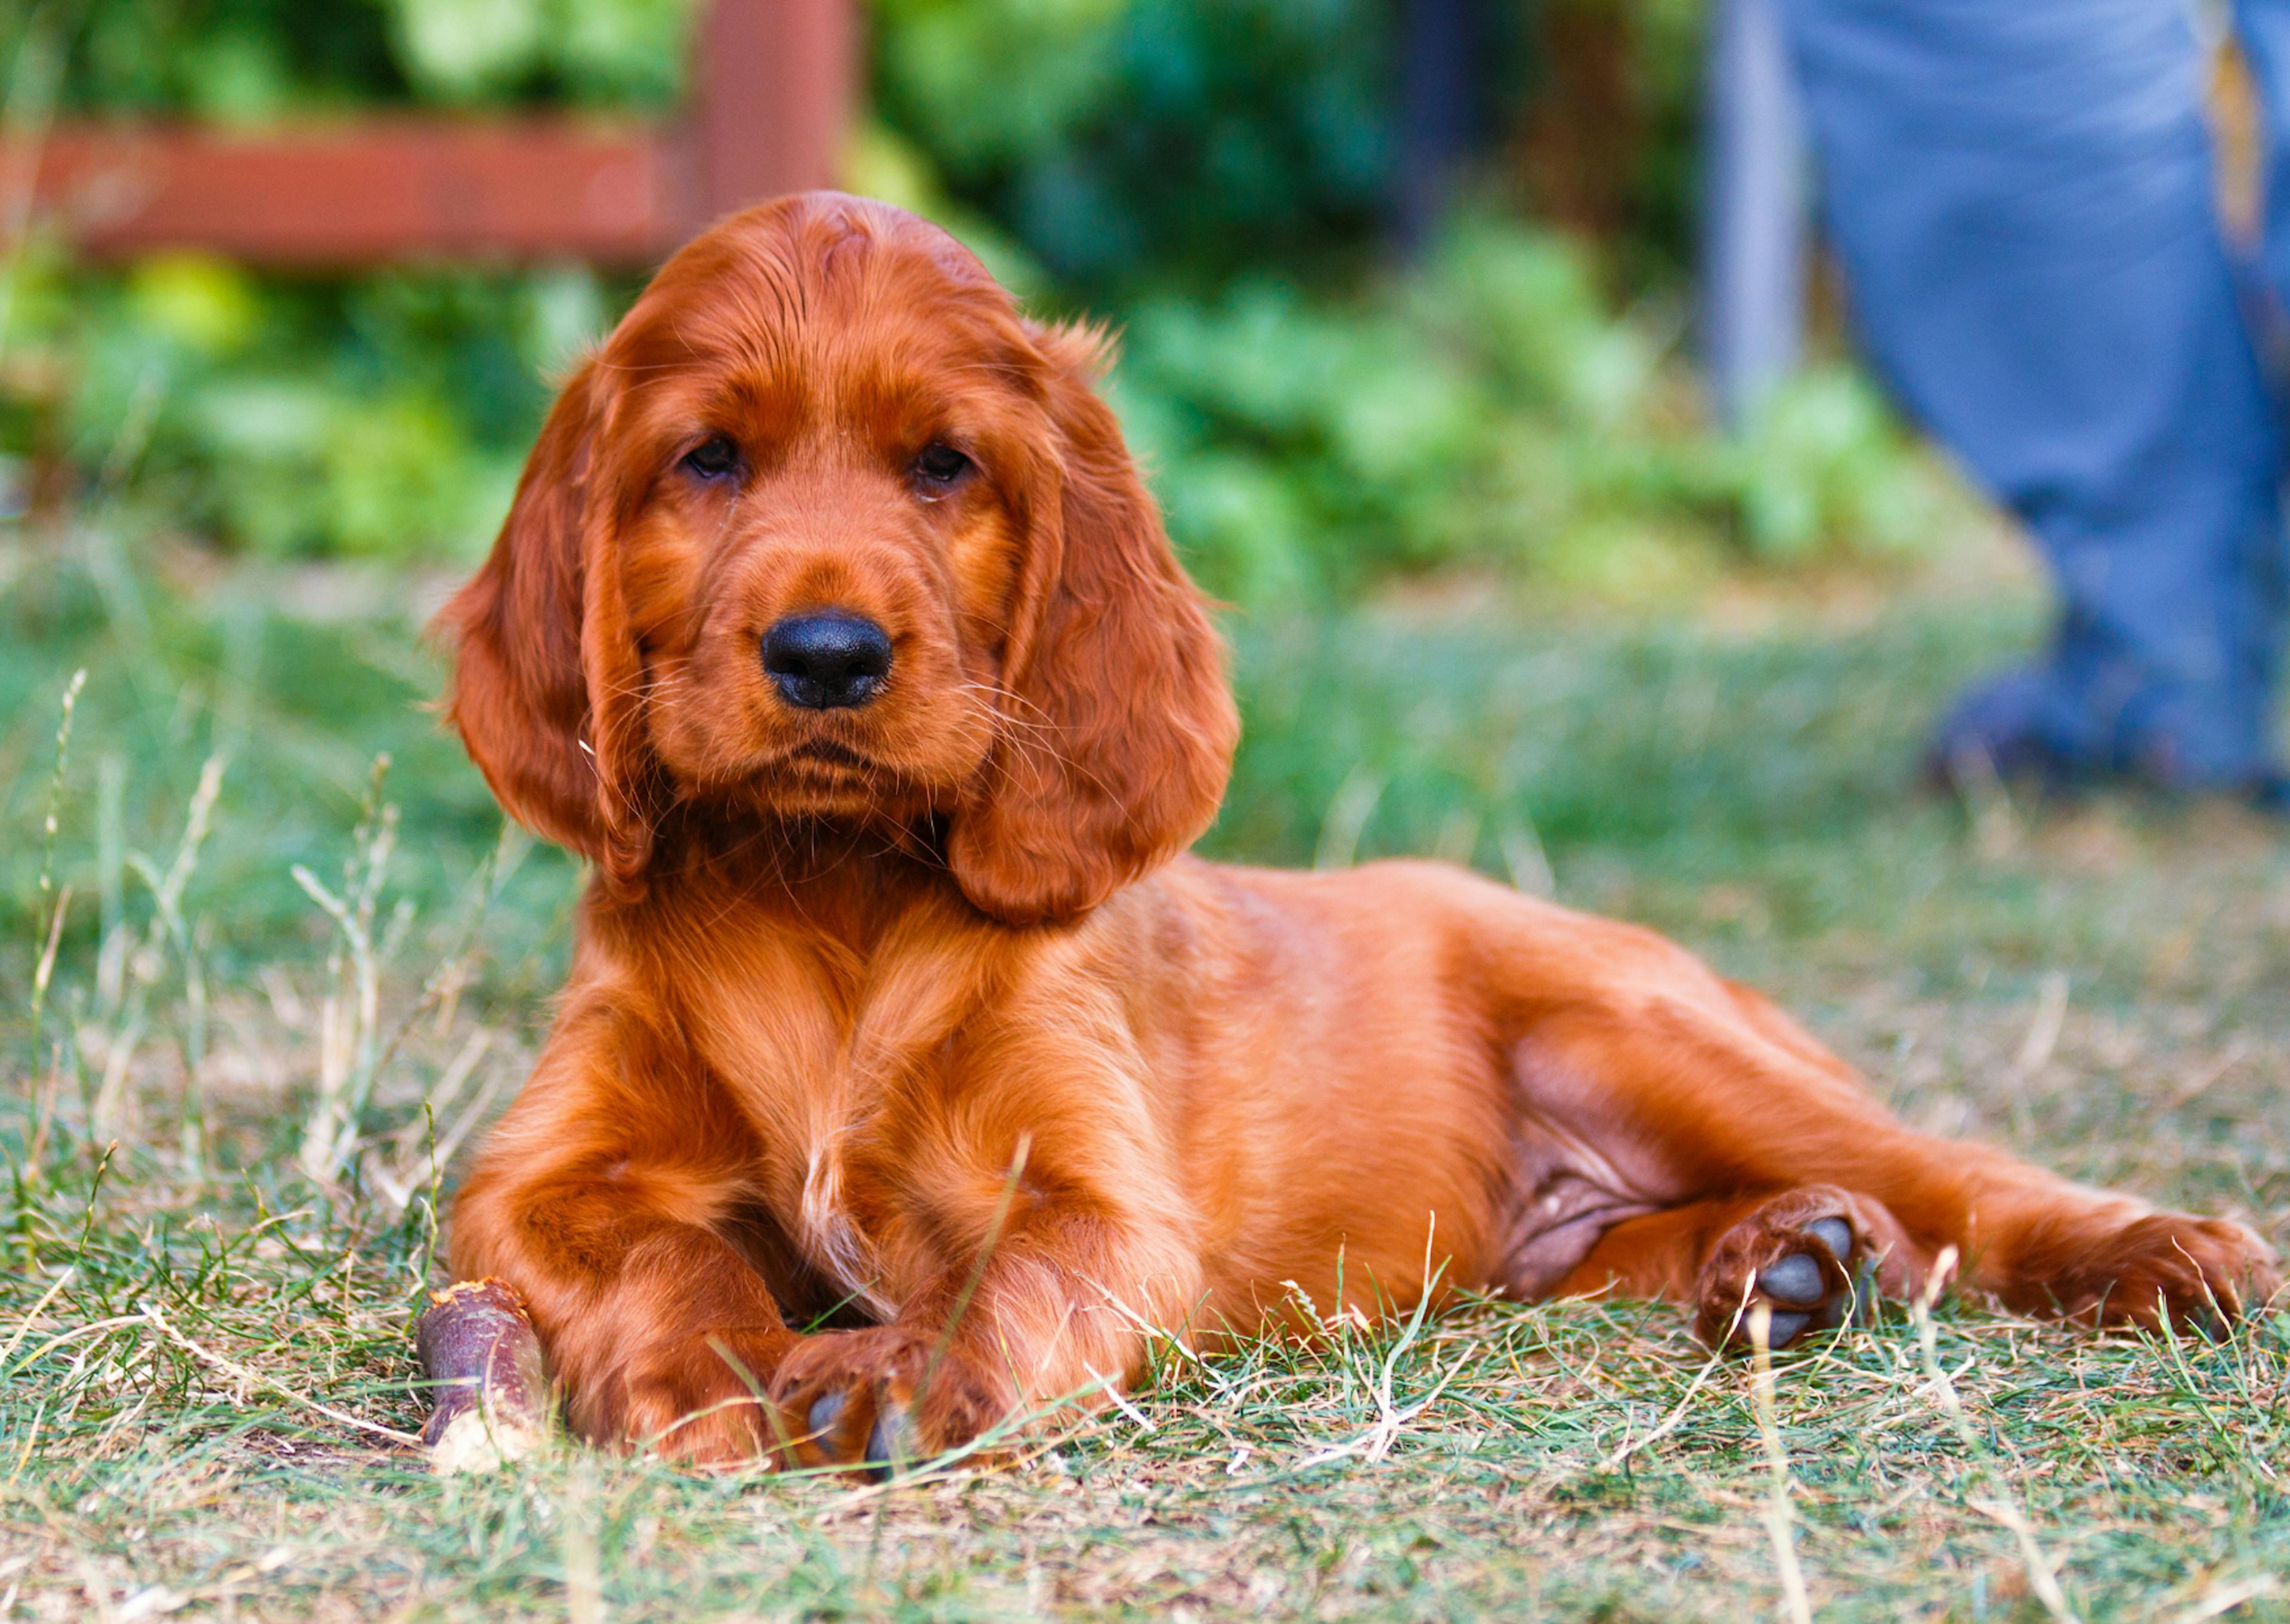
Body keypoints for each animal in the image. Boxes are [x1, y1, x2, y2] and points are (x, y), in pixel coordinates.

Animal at [437, 190, 2280, 1465]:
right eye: (709, 460)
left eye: (944, 465)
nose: (827, 656)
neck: (824, 893)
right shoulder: (539, 1178)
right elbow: (655, 1256)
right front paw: (706, 1371)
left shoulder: (1100, 1193)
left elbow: (1005, 1277)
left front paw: (891, 1372)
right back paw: (1791, 1260)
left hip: (1640, 1029)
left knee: (1951, 1173)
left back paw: (2149, 1247)